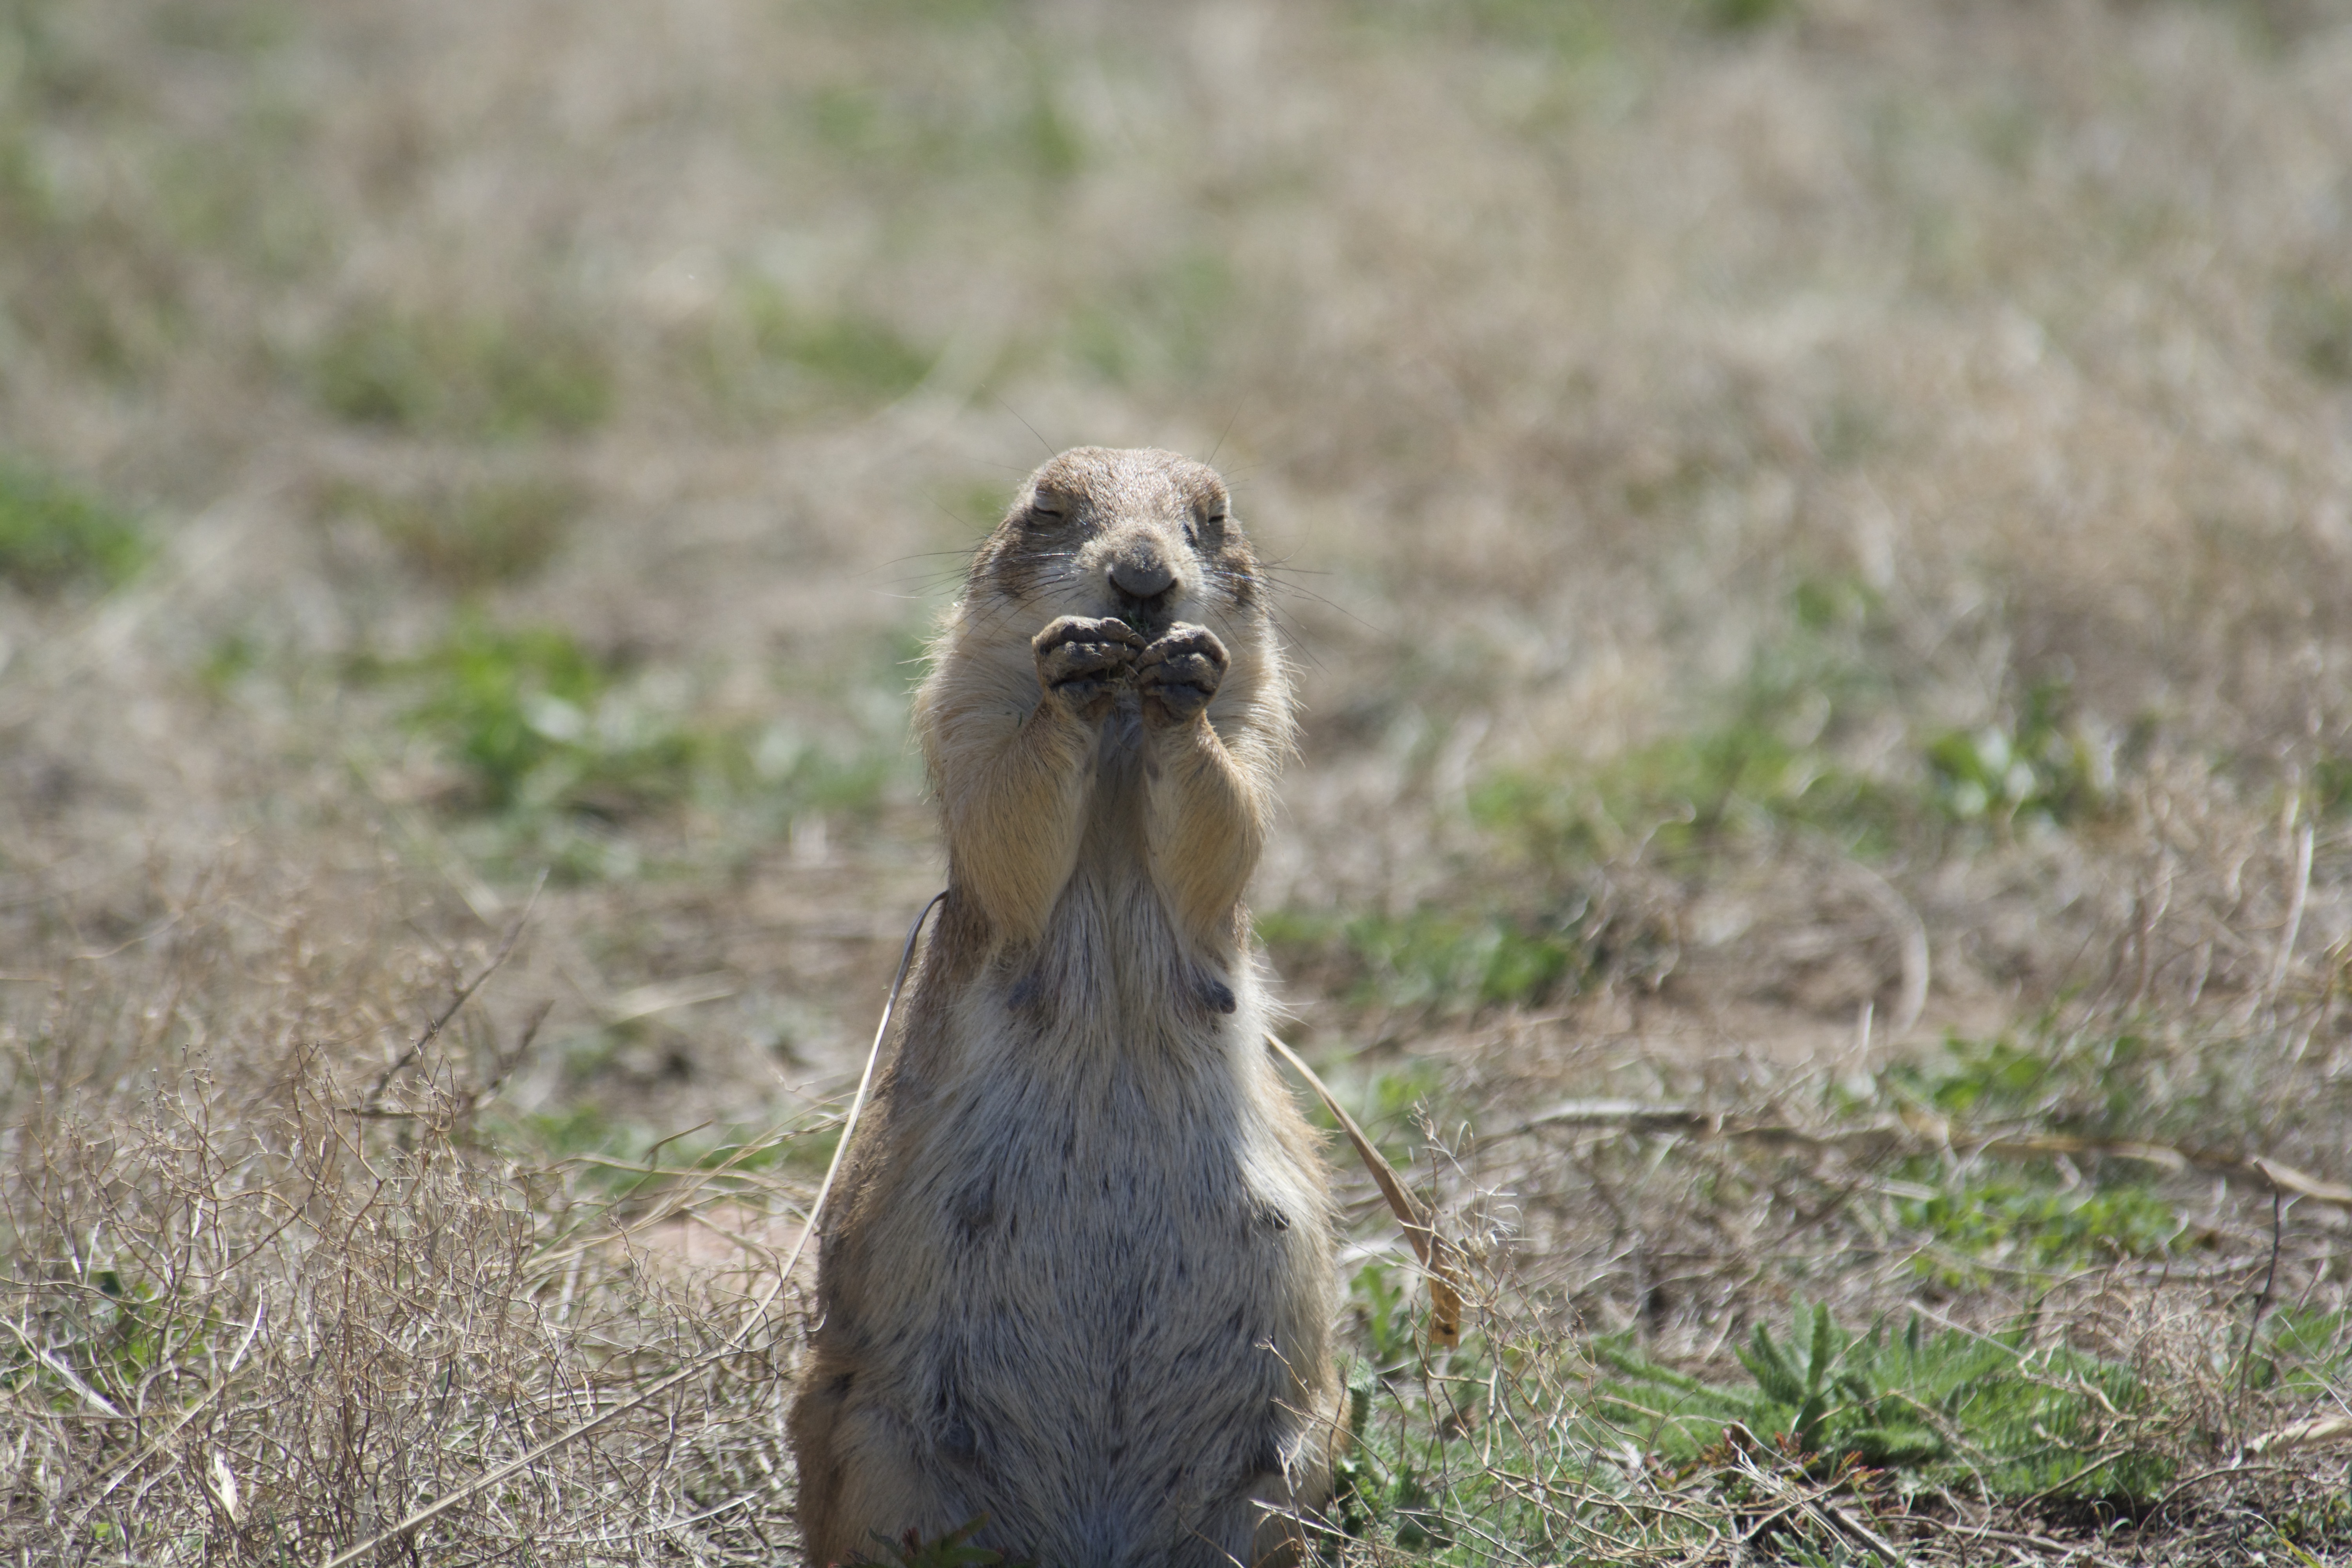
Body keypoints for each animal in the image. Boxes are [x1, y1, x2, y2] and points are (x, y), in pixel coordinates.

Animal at [789, 447, 1338, 1568]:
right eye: (1047, 507)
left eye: (1214, 516)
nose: (1142, 576)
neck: (1120, 733)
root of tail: (1096, 1535)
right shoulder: (958, 701)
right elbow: (1004, 804)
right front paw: (1073, 662)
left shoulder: (1262, 714)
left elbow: (1232, 810)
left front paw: (1183, 677)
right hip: (865, 1442)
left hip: (1290, 1463)